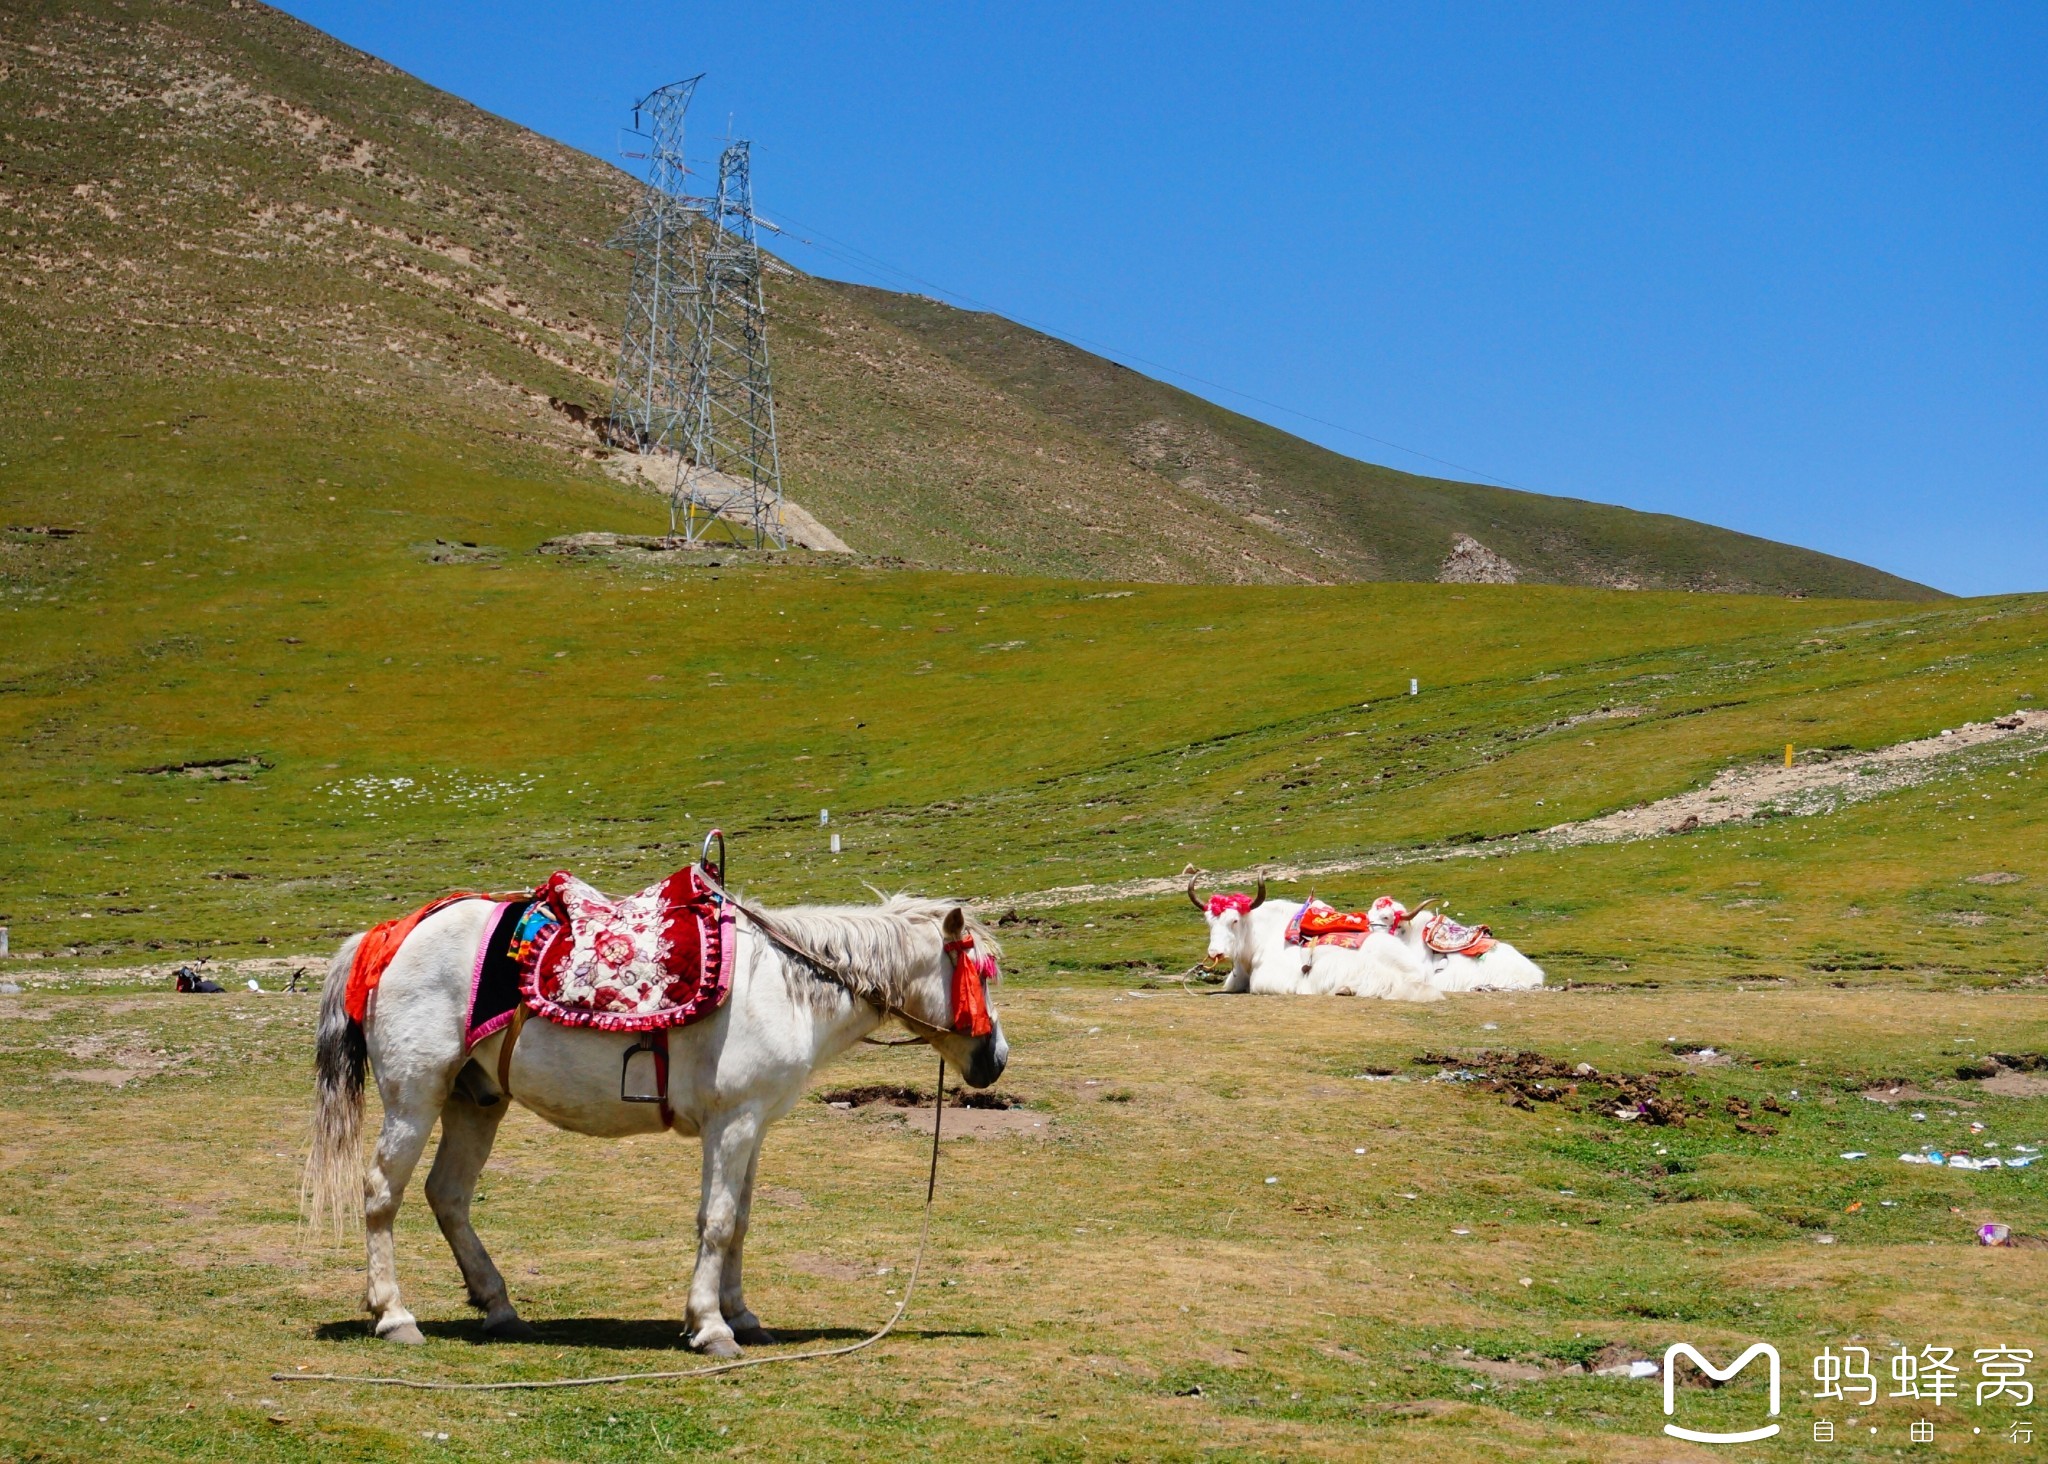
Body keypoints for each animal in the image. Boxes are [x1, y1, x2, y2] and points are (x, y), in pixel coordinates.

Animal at [303, 888, 1007, 1359]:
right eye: (981, 973)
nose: (995, 1060)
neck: (784, 987)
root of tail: (390, 934)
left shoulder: (753, 1126)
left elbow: (740, 1220)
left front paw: (741, 1315)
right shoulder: (732, 1123)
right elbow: (716, 1222)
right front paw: (710, 1327)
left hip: (475, 1100)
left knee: (447, 1195)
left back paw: (499, 1308)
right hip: (415, 1096)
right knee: (382, 1193)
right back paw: (395, 1315)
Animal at [1187, 876, 1441, 1003]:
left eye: (1234, 920)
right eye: (1209, 921)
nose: (1215, 953)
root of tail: (1417, 977)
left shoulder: (1270, 978)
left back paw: (1346, 989)